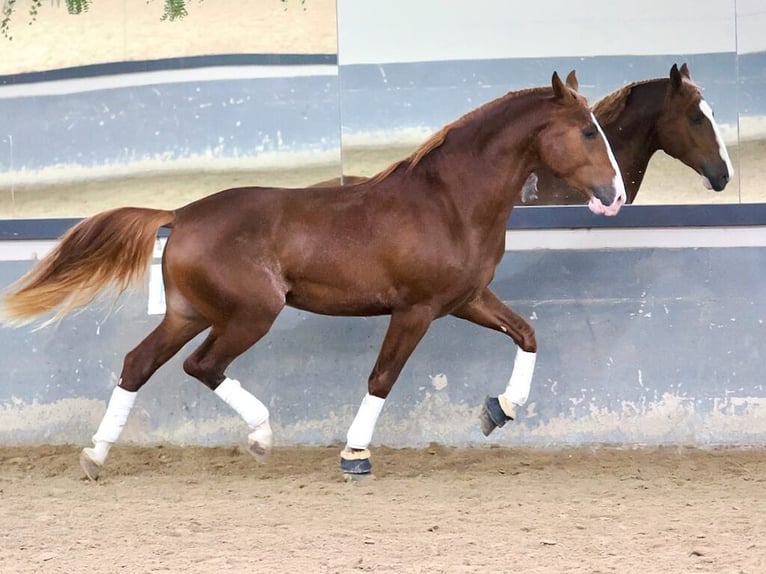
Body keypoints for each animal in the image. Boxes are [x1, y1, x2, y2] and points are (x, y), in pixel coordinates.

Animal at [1, 74, 624, 484]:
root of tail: (181, 214)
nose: (616, 196)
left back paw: (95, 456)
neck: (448, 202)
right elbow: (382, 377)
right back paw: (260, 437)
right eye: (587, 131)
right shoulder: (416, 309)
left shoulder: (466, 298)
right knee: (202, 366)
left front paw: (500, 411)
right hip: (251, 314)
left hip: (189, 313)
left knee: (138, 364)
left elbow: (527, 334)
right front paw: (355, 456)